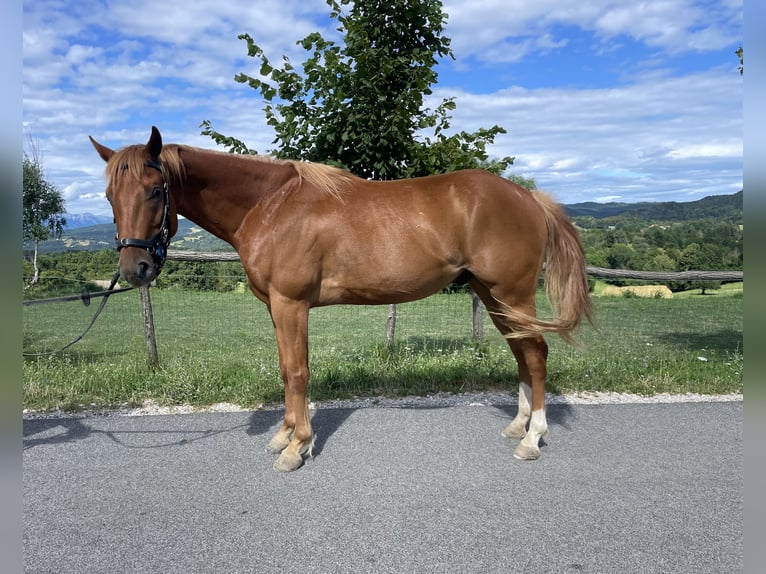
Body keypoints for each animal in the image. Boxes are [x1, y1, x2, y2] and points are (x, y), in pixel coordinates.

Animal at [89, 126, 593, 472]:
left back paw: (532, 439)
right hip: (493, 297)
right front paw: (284, 436)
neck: (270, 205)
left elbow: (297, 372)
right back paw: (518, 426)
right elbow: (285, 369)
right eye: (110, 195)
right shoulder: (276, 308)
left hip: (512, 293)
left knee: (536, 354)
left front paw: (297, 447)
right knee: (522, 354)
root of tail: (528, 197)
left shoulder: (291, 305)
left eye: (156, 190)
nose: (135, 270)